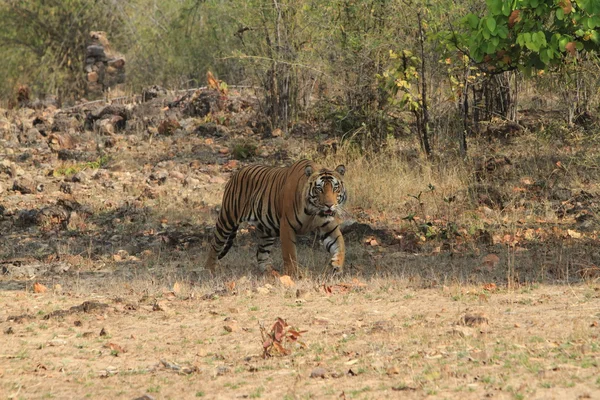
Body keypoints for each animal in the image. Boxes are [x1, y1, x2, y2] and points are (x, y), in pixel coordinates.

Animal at [205, 158, 350, 276]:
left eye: (335, 188)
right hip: (227, 219)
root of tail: (238, 172)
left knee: (261, 254)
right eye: (319, 189)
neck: (313, 211)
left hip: (267, 231)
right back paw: (209, 270)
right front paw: (293, 274)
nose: (329, 205)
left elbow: (340, 244)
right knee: (215, 245)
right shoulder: (287, 226)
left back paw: (270, 273)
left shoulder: (329, 227)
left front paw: (337, 265)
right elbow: (289, 253)